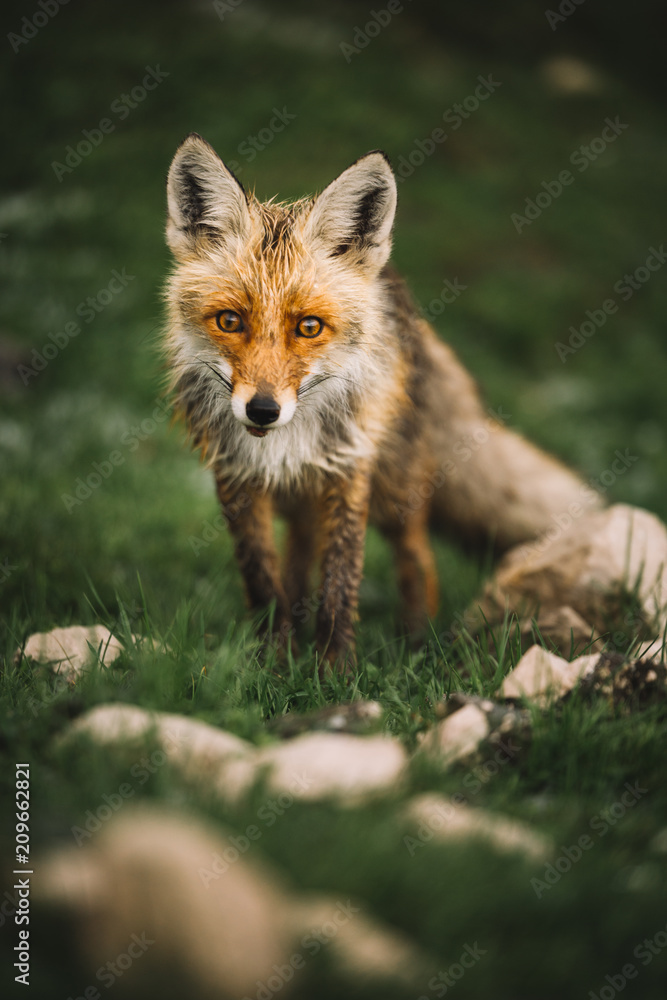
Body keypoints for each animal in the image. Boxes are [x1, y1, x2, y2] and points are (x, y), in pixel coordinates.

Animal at [163, 133, 601, 671]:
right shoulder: (236, 478)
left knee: (417, 555)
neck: (285, 442)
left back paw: (416, 642)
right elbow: (263, 580)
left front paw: (334, 670)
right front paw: (277, 663)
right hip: (304, 500)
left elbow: (342, 577)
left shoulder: (351, 469)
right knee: (301, 551)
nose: (263, 410)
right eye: (229, 321)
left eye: (309, 326)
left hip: (396, 489)